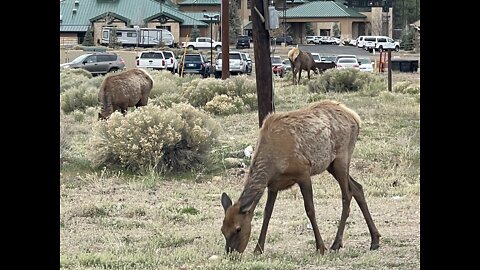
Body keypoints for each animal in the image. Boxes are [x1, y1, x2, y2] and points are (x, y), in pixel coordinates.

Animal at [219, 100, 380, 254]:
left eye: (238, 228)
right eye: (222, 230)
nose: (231, 254)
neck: (273, 165)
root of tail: (355, 117)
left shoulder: (303, 172)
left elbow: (310, 209)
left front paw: (320, 247)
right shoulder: (273, 185)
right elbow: (267, 213)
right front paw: (258, 249)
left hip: (342, 157)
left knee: (347, 195)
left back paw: (336, 244)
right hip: (331, 165)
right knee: (357, 188)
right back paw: (375, 240)